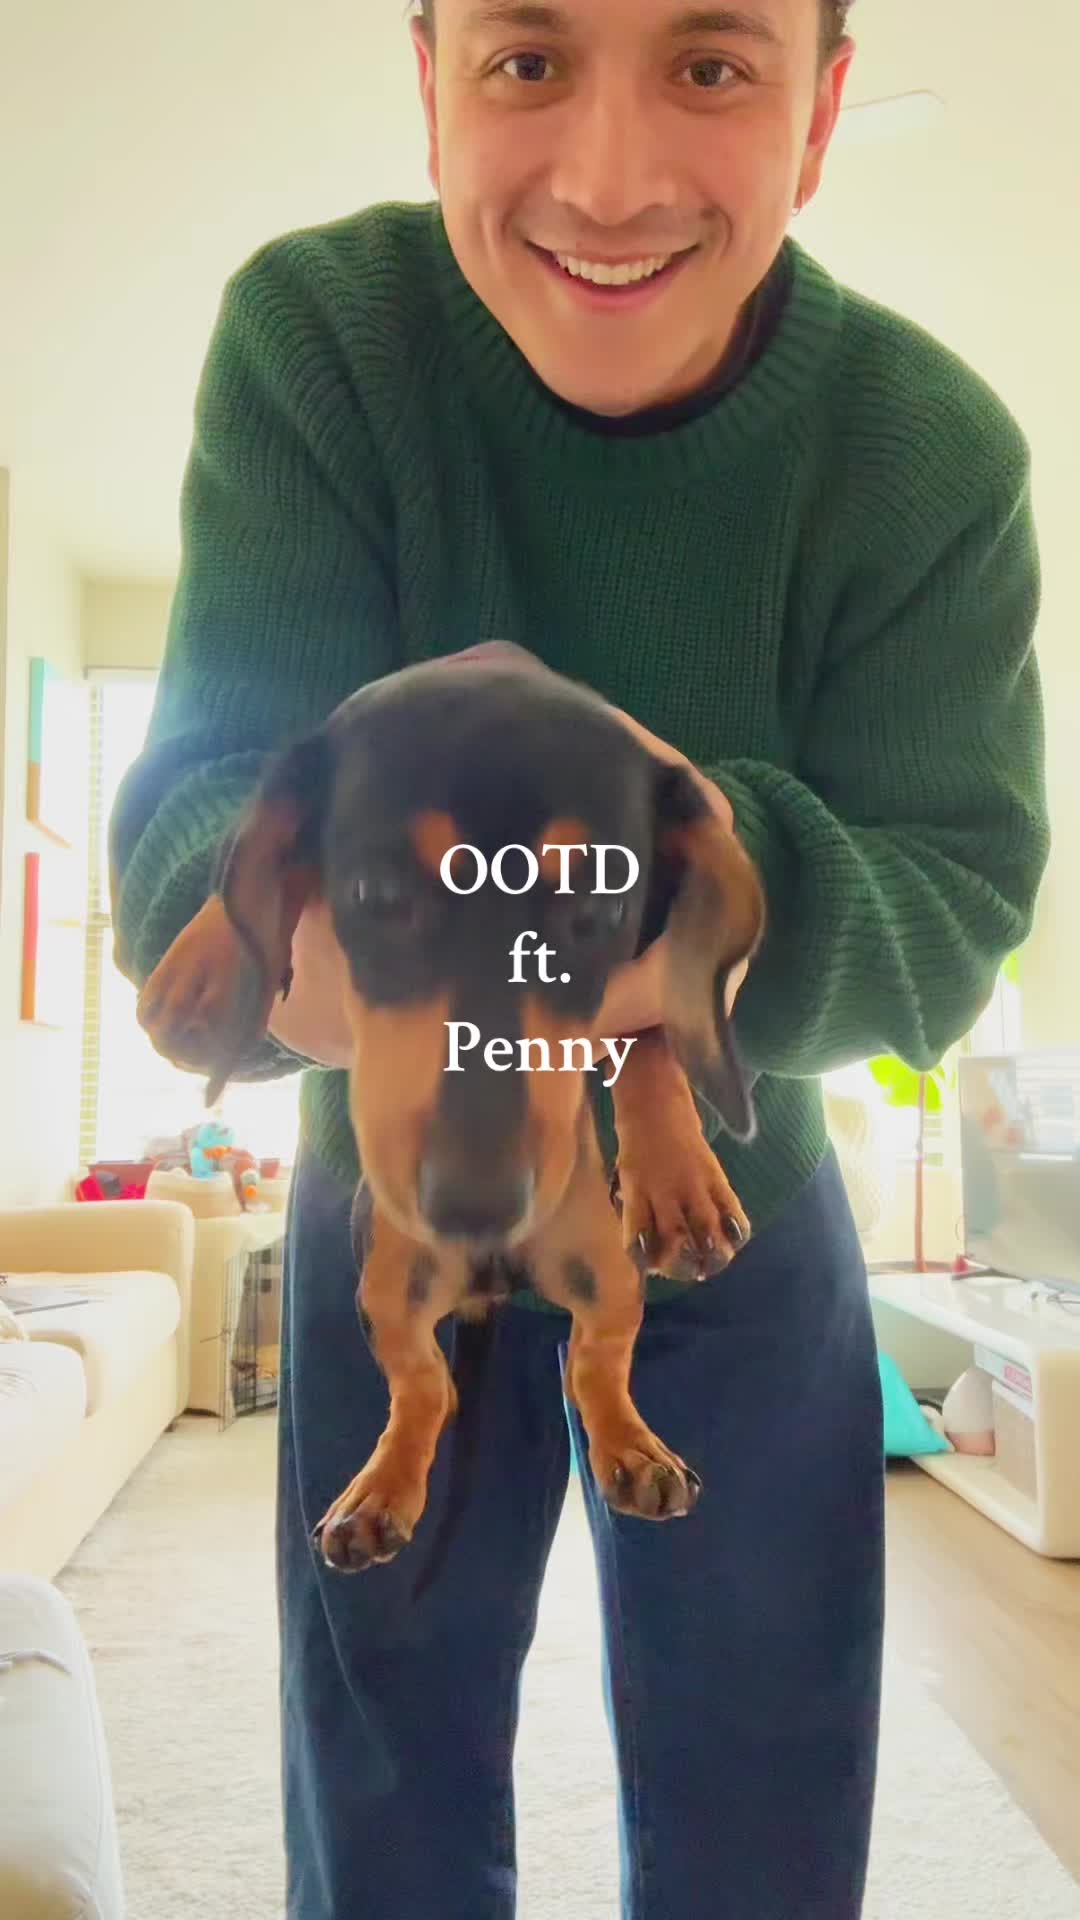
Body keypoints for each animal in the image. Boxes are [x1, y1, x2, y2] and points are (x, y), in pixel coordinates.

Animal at [132, 649, 765, 1580]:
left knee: (592, 1361)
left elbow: (651, 1038)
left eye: (601, 910)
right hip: (384, 1277)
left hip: (605, 1267)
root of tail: (494, 1273)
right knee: (428, 1386)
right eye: (373, 892)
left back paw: (633, 1449)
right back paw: (380, 1492)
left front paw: (679, 1180)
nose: (475, 1207)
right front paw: (202, 966)